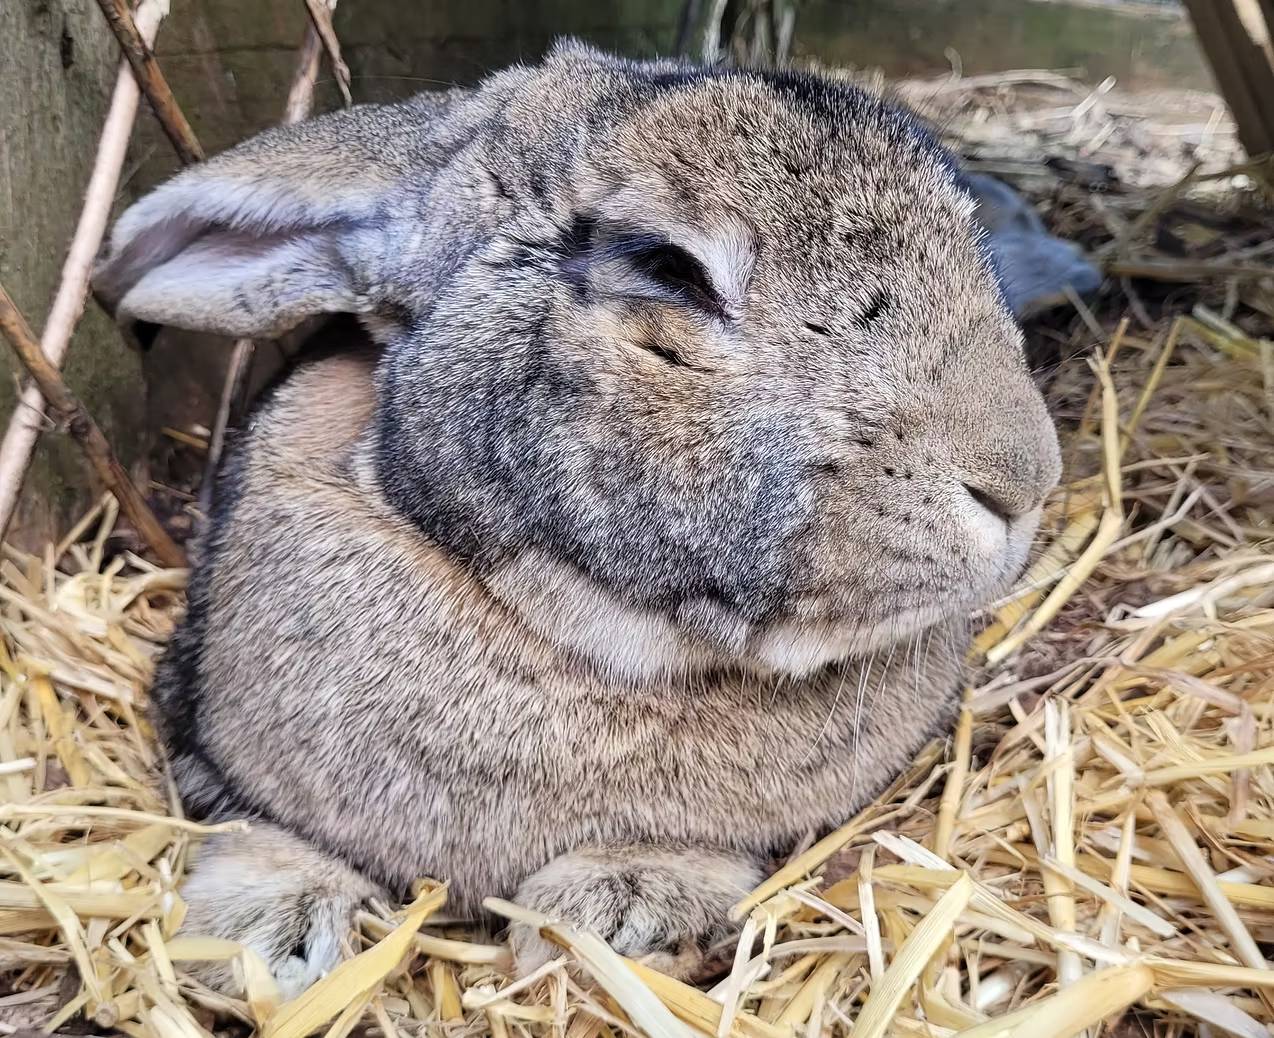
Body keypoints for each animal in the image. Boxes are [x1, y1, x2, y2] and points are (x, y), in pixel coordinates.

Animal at [95, 40, 1061, 996]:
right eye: (668, 269)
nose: (1023, 479)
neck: (590, 635)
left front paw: (619, 908)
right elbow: (256, 829)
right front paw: (265, 932)